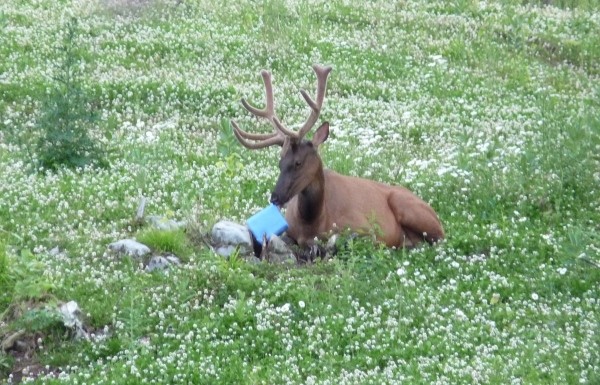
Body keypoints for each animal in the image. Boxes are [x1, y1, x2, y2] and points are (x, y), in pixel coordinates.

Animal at [232, 64, 442, 254]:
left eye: (298, 162)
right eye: (280, 163)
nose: (275, 197)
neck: (313, 222)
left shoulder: (364, 226)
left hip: (412, 210)